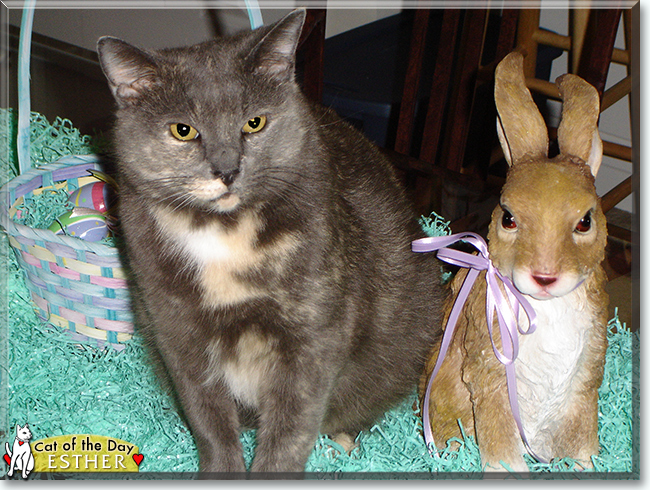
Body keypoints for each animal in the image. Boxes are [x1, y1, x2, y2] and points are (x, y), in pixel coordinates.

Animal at [96, 8, 442, 474]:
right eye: (183, 130)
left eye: (254, 122)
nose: (227, 169)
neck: (223, 231)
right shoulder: (177, 332)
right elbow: (209, 420)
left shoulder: (314, 335)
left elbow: (291, 429)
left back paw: (343, 442)